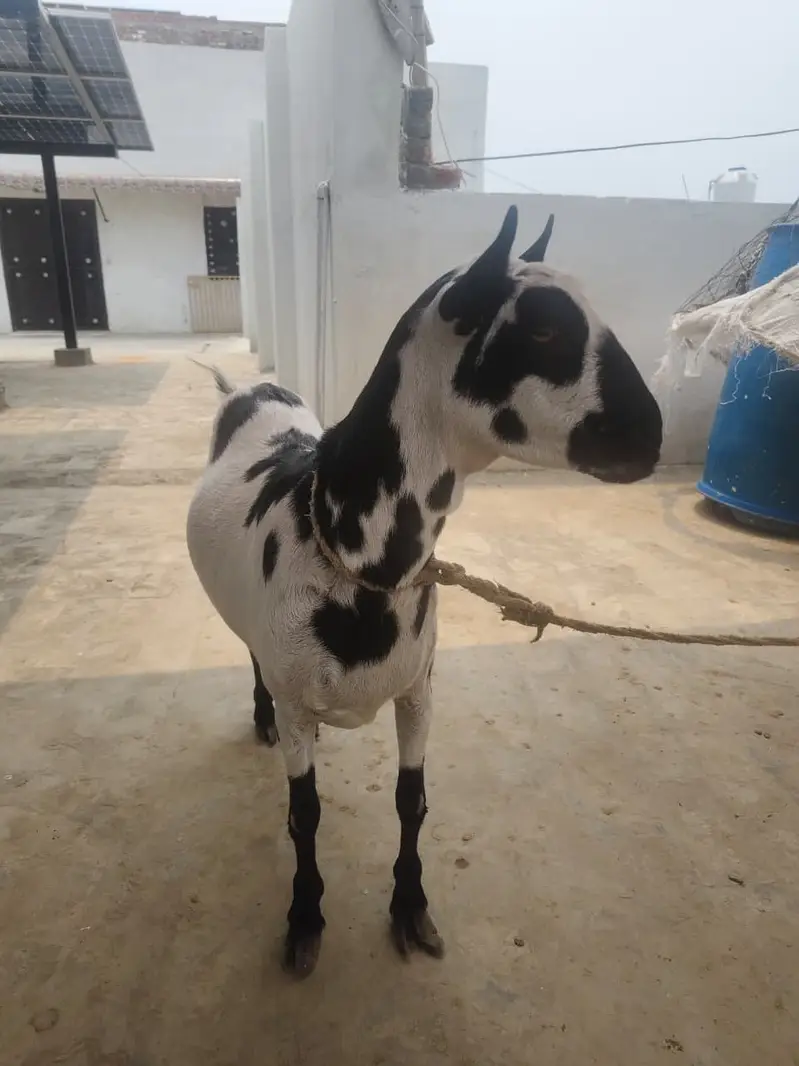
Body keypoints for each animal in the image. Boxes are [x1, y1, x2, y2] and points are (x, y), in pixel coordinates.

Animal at [186, 206, 663, 977]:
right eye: (543, 329)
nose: (649, 434)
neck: (346, 546)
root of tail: (247, 392)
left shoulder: (419, 688)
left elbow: (412, 800)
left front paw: (410, 907)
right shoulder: (298, 700)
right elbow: (302, 813)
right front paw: (305, 917)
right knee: (252, 660)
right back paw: (257, 717)